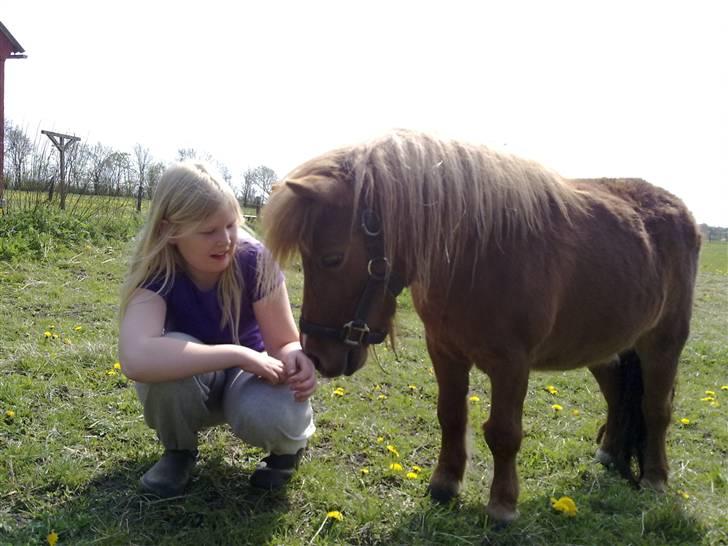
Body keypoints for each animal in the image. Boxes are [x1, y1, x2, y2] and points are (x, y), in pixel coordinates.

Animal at [260, 130, 700, 520]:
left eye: (332, 258)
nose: (317, 355)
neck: (479, 254)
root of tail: (683, 214)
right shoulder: (445, 352)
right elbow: (451, 416)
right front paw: (444, 484)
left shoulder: (512, 364)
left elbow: (504, 433)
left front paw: (502, 505)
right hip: (605, 350)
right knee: (618, 397)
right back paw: (610, 454)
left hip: (663, 344)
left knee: (656, 408)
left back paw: (655, 479)